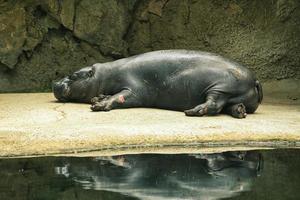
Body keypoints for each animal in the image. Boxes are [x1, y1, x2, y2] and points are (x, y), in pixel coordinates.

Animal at [53, 49, 262, 118]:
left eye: (72, 75)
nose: (55, 82)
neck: (103, 75)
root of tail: (255, 79)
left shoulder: (135, 89)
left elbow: (120, 97)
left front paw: (99, 104)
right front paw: (99, 97)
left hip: (221, 88)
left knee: (214, 105)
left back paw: (192, 111)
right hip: (232, 95)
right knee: (231, 106)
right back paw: (239, 111)